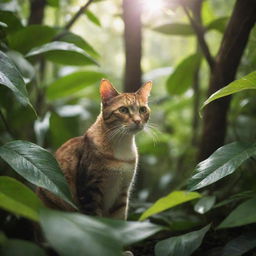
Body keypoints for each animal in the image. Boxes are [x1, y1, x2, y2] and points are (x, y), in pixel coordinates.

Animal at [37, 78, 151, 220]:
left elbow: (119, 218)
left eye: (142, 110)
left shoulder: (123, 192)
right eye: (123, 110)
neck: (122, 145)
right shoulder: (89, 191)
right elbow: (95, 217)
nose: (138, 121)